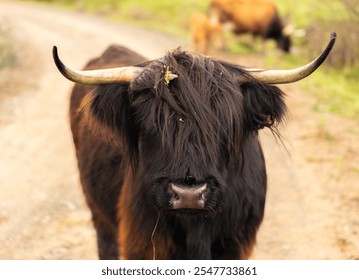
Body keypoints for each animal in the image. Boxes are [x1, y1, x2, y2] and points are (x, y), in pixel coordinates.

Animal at [52, 33, 336, 260]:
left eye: (226, 122)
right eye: (150, 119)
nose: (188, 194)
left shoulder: (233, 246)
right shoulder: (143, 243)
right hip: (99, 211)